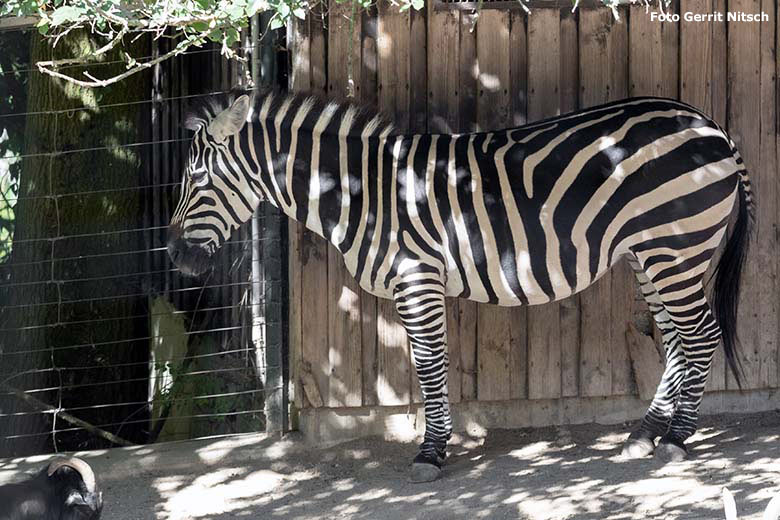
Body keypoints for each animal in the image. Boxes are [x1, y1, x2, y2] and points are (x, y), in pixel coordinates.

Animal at [168, 89, 752, 484]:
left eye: (197, 180)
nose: (173, 256)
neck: (361, 191)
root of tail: (708, 124)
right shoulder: (417, 283)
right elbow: (425, 367)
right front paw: (437, 444)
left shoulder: (417, 276)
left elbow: (429, 367)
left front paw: (431, 453)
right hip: (649, 255)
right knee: (675, 342)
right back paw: (644, 433)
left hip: (675, 249)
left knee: (700, 338)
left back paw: (676, 440)